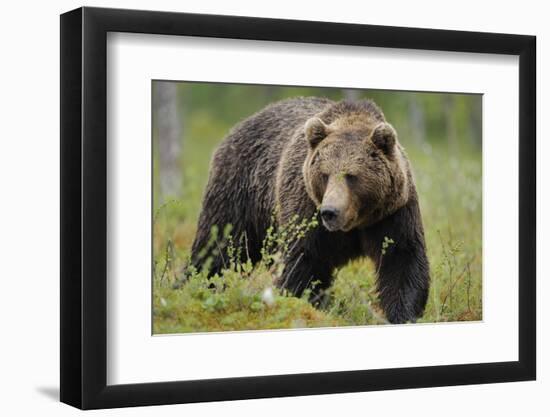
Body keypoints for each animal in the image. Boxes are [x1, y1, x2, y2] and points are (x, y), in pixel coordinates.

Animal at [190, 96, 432, 322]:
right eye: (325, 174)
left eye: (352, 176)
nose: (330, 212)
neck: (356, 223)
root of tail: (239, 125)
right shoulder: (306, 209)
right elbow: (303, 262)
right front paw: (305, 303)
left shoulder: (392, 213)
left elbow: (401, 259)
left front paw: (402, 314)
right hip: (240, 190)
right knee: (218, 246)